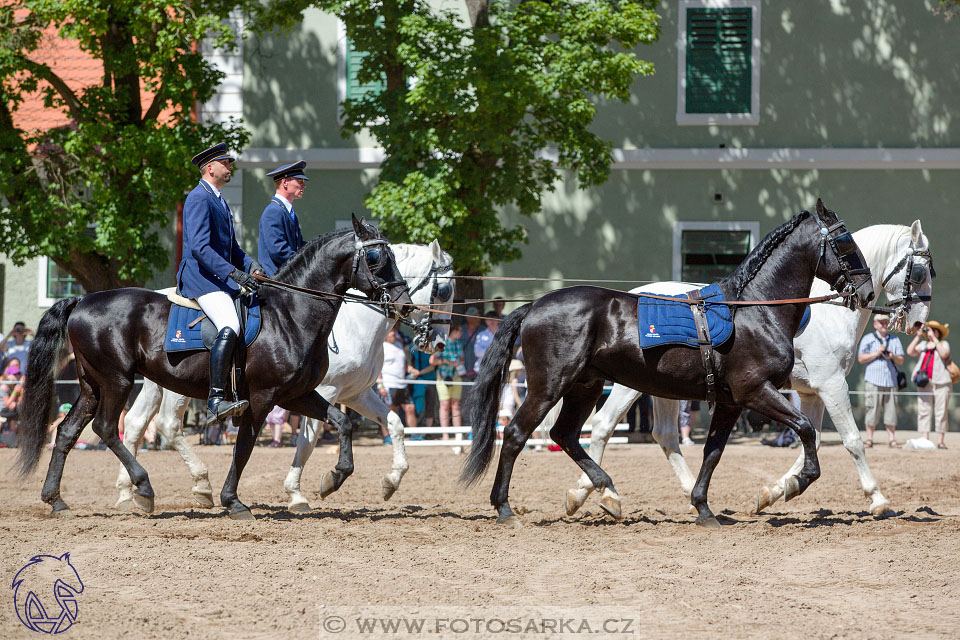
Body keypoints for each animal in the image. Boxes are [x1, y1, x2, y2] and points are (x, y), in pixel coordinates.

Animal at [16, 215, 410, 520]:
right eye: (375, 256)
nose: (404, 304)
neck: (291, 314)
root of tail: (83, 299)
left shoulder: (295, 394)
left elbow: (341, 422)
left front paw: (333, 478)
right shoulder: (263, 397)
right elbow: (245, 447)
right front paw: (233, 501)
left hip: (92, 385)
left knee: (68, 431)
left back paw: (56, 500)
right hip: (116, 380)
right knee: (108, 428)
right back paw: (144, 488)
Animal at [115, 240, 454, 510]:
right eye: (444, 290)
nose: (438, 343)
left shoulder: (356, 392)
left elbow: (394, 422)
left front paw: (391, 481)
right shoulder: (325, 391)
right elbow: (308, 440)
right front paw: (299, 493)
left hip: (157, 382)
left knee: (134, 423)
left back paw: (128, 494)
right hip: (180, 387)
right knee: (168, 424)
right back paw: (201, 485)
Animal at [462, 201, 872, 528]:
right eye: (846, 242)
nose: (866, 292)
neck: (754, 310)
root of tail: (534, 306)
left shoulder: (730, 402)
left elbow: (713, 452)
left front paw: (703, 508)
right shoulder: (755, 391)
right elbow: (805, 430)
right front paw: (797, 483)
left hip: (584, 386)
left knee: (565, 434)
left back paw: (606, 492)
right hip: (549, 386)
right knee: (516, 434)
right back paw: (506, 508)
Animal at [564, 222, 928, 516]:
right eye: (922, 271)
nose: (917, 323)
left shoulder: (813, 392)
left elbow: (810, 441)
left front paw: (775, 491)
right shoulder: (831, 384)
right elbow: (851, 440)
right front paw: (878, 499)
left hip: (662, 388)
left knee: (664, 435)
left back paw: (687, 493)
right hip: (629, 385)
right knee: (603, 426)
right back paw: (598, 494)